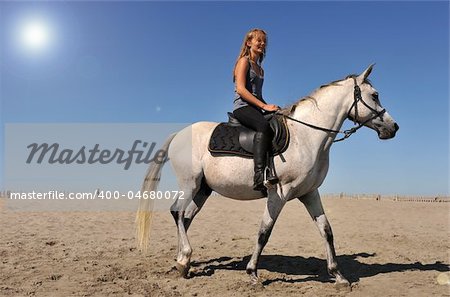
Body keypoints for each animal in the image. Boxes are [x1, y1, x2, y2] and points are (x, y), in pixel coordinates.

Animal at [135, 64, 400, 286]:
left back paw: (182, 260)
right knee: (177, 212)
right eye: (374, 95)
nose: (393, 127)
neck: (306, 136)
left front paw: (339, 275)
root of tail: (179, 133)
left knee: (186, 217)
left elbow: (326, 230)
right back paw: (184, 259)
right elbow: (264, 231)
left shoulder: (310, 193)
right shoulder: (278, 193)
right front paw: (252, 273)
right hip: (189, 184)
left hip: (203, 189)